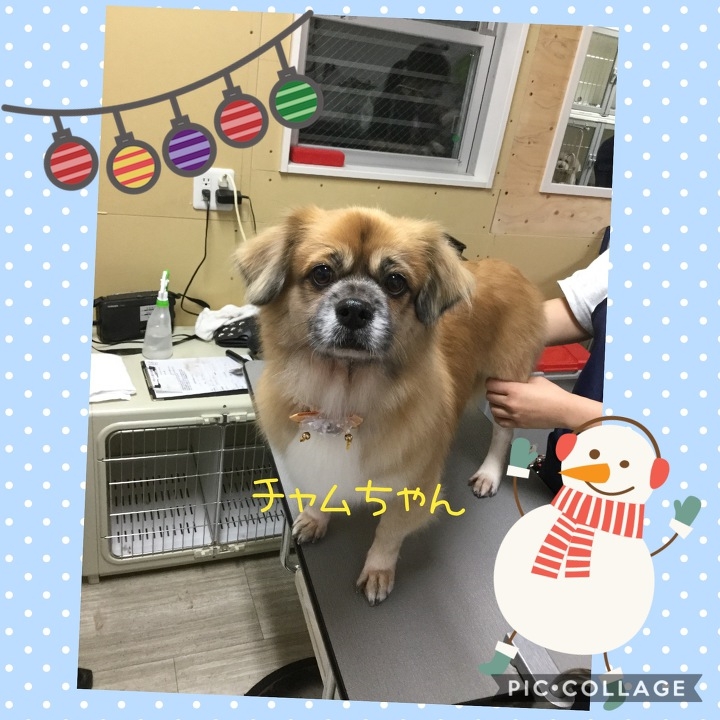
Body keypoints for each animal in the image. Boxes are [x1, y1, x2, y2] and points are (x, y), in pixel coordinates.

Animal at [235, 206, 545, 605]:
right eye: (322, 273)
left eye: (395, 282)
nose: (354, 309)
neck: (343, 396)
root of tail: (513, 270)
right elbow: (321, 491)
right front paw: (317, 519)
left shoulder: (413, 488)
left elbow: (389, 533)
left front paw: (378, 571)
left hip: (505, 382)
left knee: (502, 435)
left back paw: (489, 474)